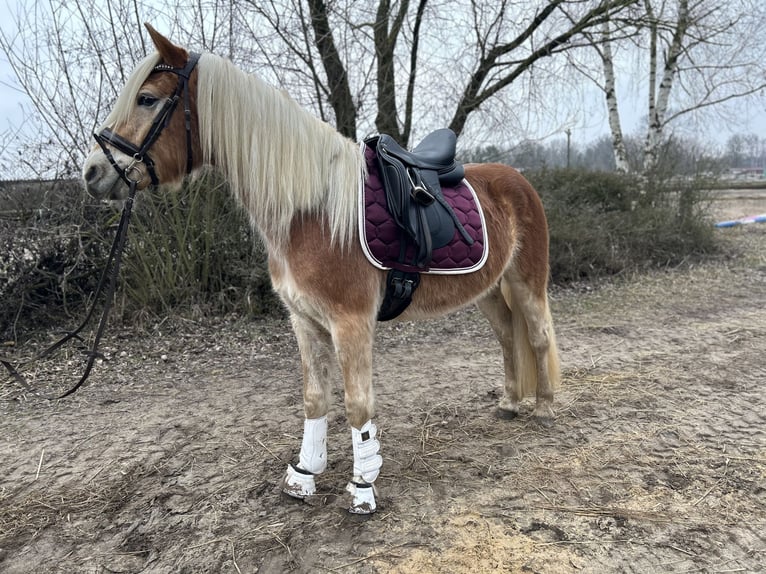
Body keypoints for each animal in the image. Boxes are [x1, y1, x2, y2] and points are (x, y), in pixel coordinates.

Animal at [84, 24, 560, 516]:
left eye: (147, 99)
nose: (93, 172)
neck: (309, 211)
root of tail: (517, 178)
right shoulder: (304, 321)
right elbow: (315, 400)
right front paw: (304, 474)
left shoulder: (351, 323)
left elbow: (357, 405)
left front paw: (363, 487)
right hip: (489, 291)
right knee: (507, 338)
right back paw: (509, 403)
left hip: (527, 282)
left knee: (539, 336)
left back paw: (544, 409)